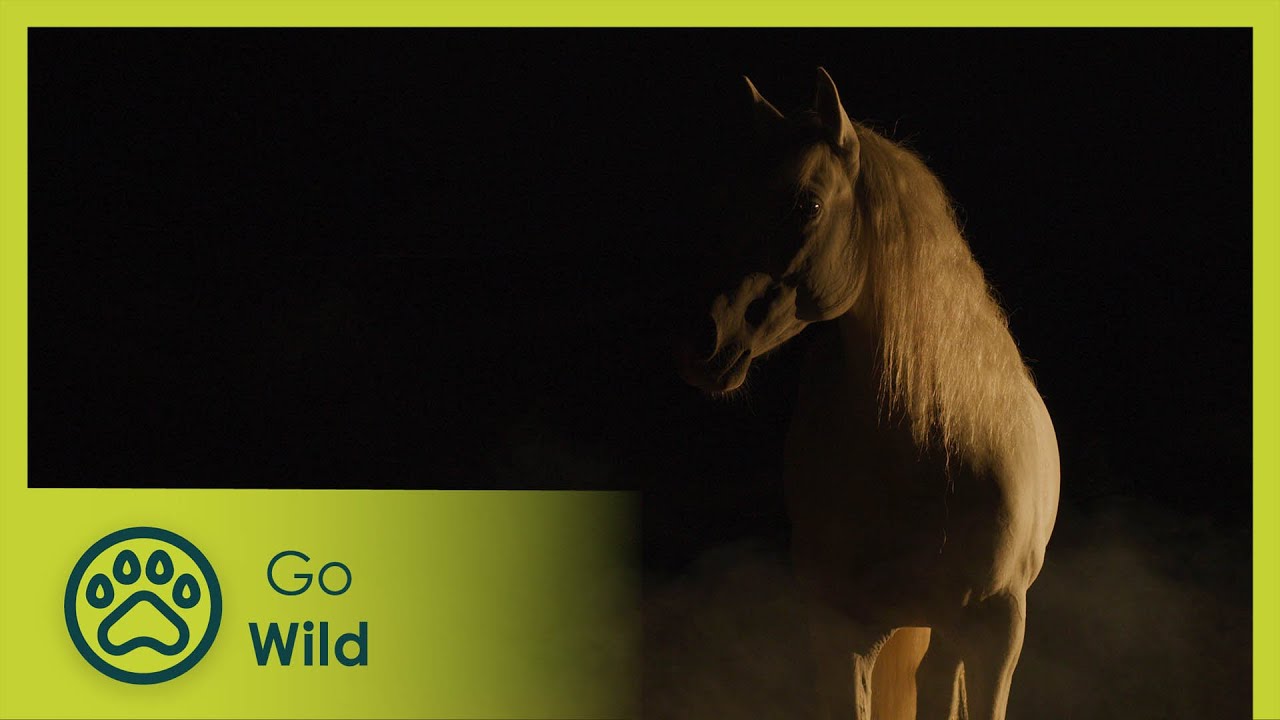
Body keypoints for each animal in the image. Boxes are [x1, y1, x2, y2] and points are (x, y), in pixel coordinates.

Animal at [676, 68, 1060, 720]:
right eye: (730, 199)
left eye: (808, 203)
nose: (704, 339)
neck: (930, 445)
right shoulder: (844, 630)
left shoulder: (997, 629)